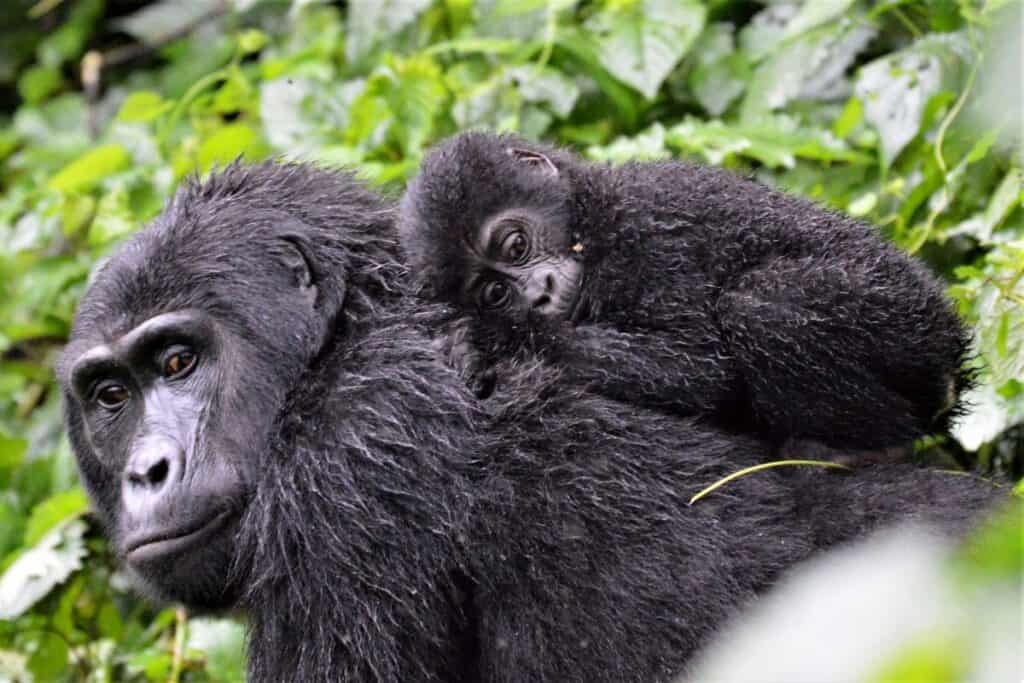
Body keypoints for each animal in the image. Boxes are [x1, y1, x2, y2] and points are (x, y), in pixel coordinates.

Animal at [397, 130, 966, 456]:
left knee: (765, 305)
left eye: (515, 245)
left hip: (909, 325)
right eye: (494, 292)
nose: (538, 294)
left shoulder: (649, 234)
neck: (592, 218)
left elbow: (699, 367)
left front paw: (492, 341)